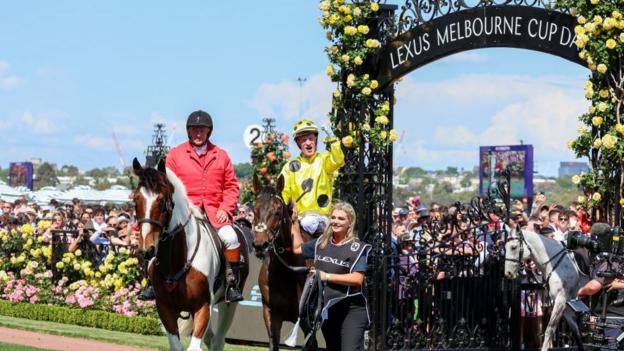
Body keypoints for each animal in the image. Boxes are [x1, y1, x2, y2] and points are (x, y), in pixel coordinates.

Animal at [132, 160, 249, 351]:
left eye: (161, 200)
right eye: (135, 200)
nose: (146, 250)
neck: (177, 260)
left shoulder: (203, 306)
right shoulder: (165, 308)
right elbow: (176, 346)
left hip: (228, 305)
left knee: (218, 339)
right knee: (211, 338)